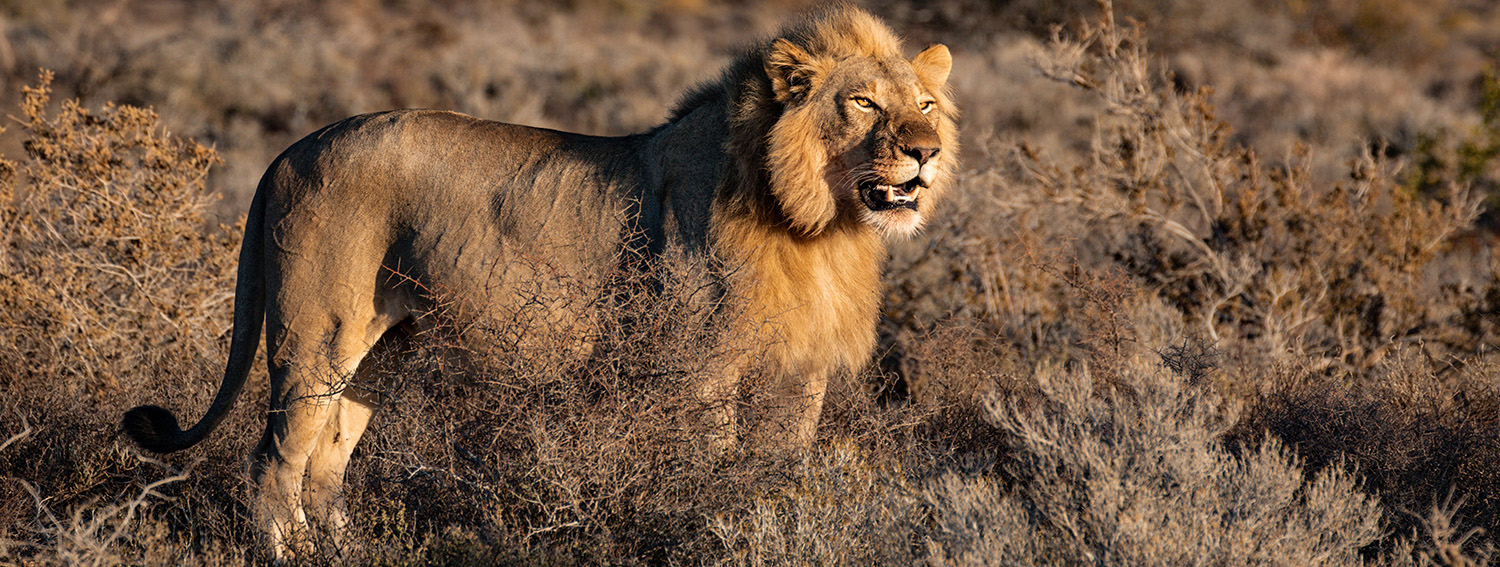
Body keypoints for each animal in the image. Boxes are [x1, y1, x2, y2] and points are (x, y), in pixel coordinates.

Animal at [122, 6, 956, 559]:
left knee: (327, 461)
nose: (927, 151)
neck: (819, 226)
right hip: (315, 334)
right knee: (273, 459)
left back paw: (345, 552)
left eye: (924, 104)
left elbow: (779, 473)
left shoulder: (799, 372)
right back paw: (288, 550)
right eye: (864, 102)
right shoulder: (703, 369)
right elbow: (714, 473)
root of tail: (290, 149)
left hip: (383, 350)